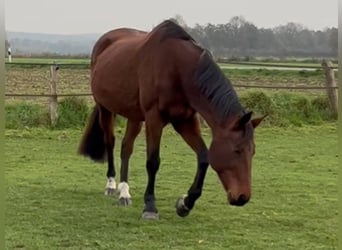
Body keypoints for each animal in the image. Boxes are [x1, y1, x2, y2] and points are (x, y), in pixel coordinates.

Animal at [79, 19, 266, 219]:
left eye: (253, 152)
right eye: (237, 150)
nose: (242, 197)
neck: (178, 69)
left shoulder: (185, 121)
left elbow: (204, 157)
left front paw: (185, 203)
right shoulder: (154, 119)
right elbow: (153, 162)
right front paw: (150, 206)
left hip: (134, 116)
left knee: (126, 148)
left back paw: (124, 192)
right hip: (105, 108)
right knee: (111, 142)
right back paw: (112, 185)